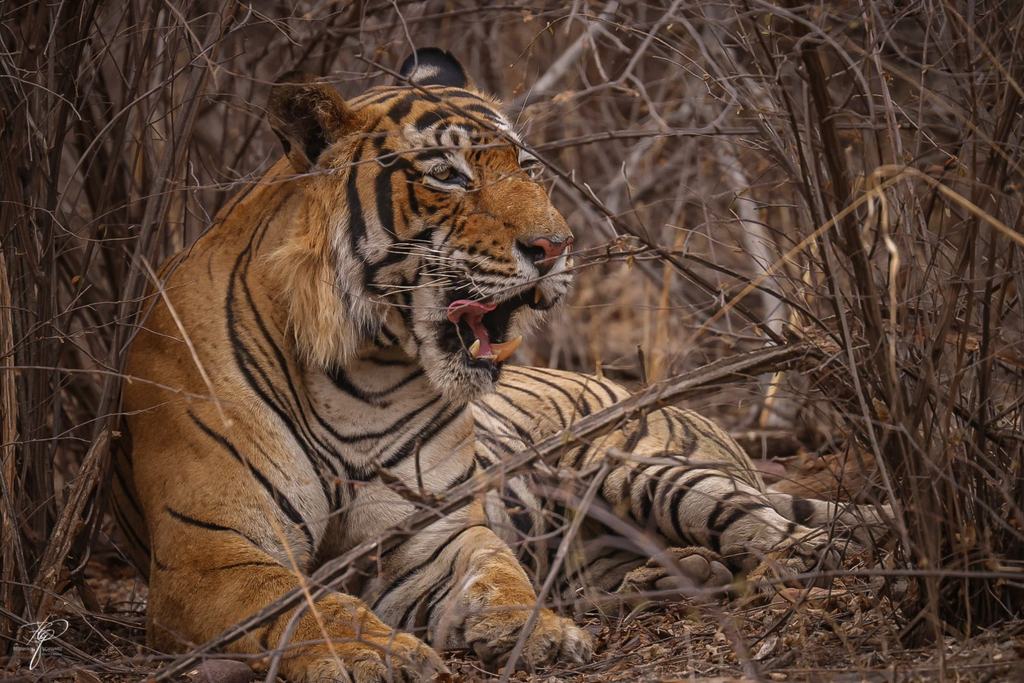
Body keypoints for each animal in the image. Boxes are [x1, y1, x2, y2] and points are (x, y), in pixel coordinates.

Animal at [112, 48, 888, 683]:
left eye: (529, 165)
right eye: (447, 175)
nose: (558, 246)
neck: (360, 371)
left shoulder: (434, 528)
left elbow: (495, 571)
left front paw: (532, 628)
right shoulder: (214, 552)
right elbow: (307, 606)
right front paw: (373, 653)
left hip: (639, 466)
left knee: (777, 525)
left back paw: (798, 557)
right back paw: (666, 579)